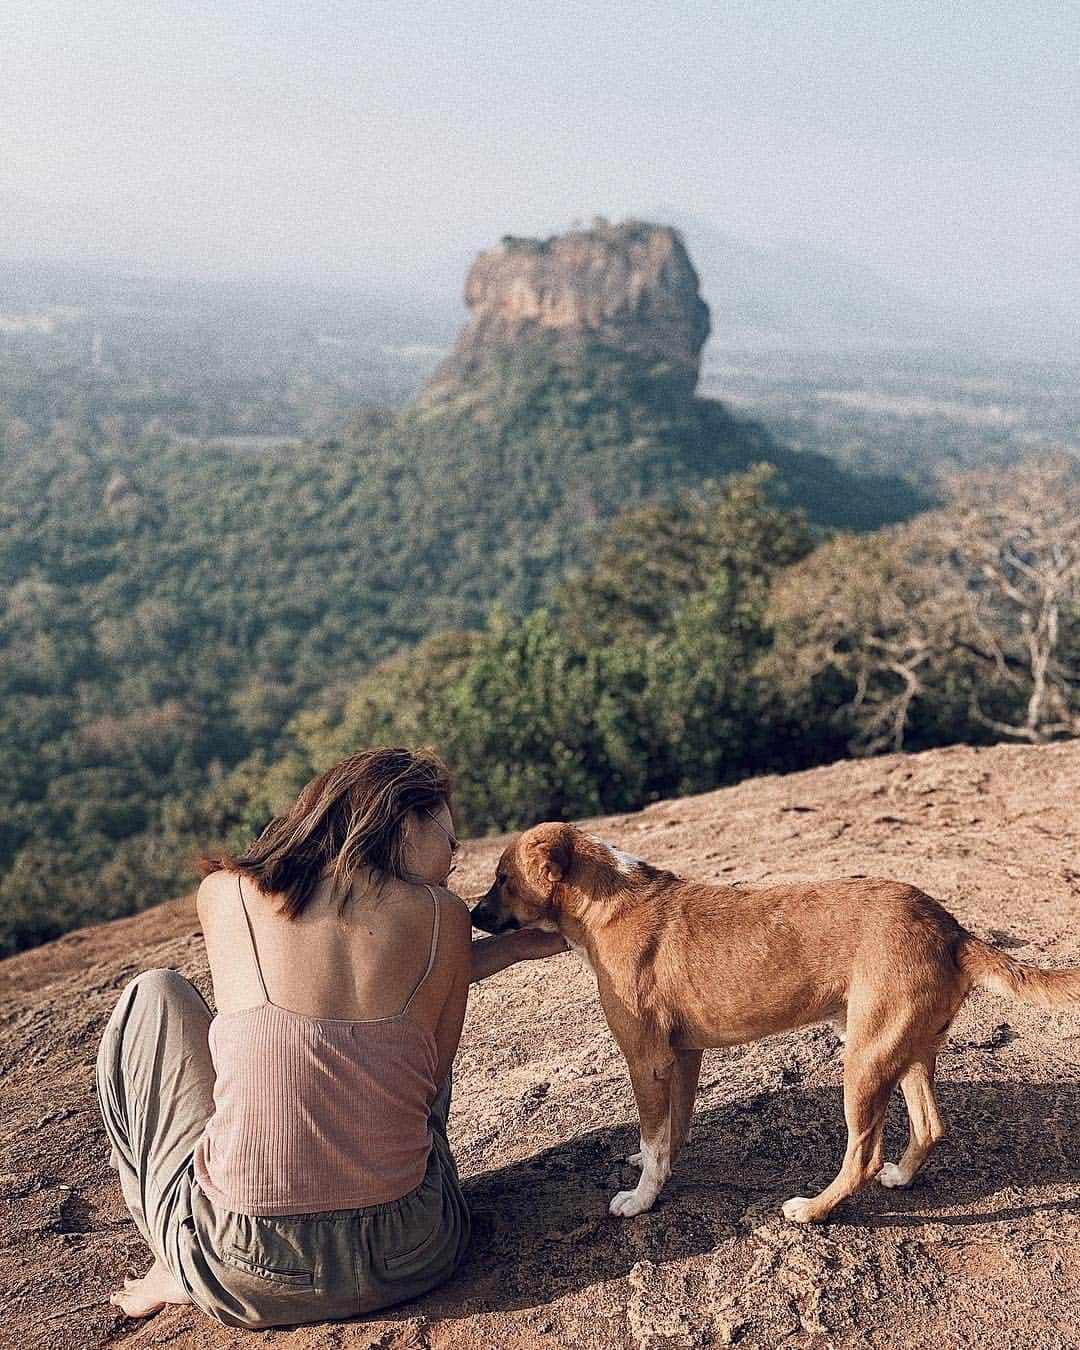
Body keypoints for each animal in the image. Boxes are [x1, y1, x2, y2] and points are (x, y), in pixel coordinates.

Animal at [469, 820, 1080, 1225]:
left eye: (501, 879)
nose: (471, 914)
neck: (605, 901)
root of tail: (951, 927)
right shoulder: (683, 1056)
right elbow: (669, 1132)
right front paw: (656, 1169)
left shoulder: (647, 1060)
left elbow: (653, 1131)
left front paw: (640, 1199)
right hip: (898, 1049)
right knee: (929, 1126)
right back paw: (902, 1177)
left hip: (864, 1061)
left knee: (863, 1154)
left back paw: (811, 1210)